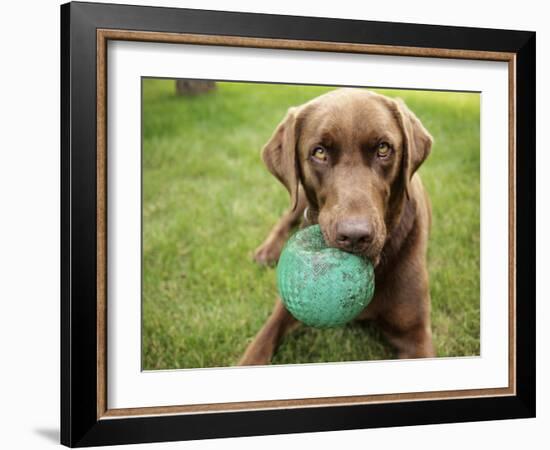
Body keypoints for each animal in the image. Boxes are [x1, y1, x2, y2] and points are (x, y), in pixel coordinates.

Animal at [242, 89, 436, 366]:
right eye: (320, 152)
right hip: (298, 198)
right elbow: (259, 345)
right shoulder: (287, 306)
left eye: (383, 148)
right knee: (287, 216)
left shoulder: (416, 335)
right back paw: (266, 252)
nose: (355, 236)